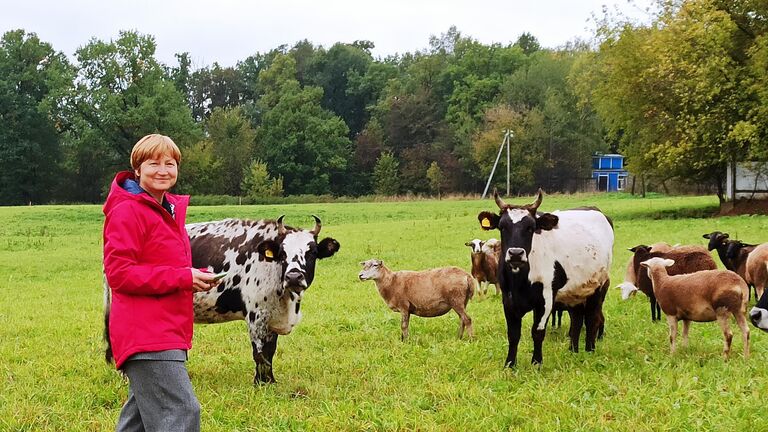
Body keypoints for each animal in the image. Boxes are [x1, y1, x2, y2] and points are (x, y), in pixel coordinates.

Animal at [186, 214, 340, 384]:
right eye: (283, 253)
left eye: (312, 252)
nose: (293, 277)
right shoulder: (256, 315)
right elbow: (260, 352)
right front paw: (260, 382)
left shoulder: (272, 317)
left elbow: (270, 350)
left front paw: (270, 380)